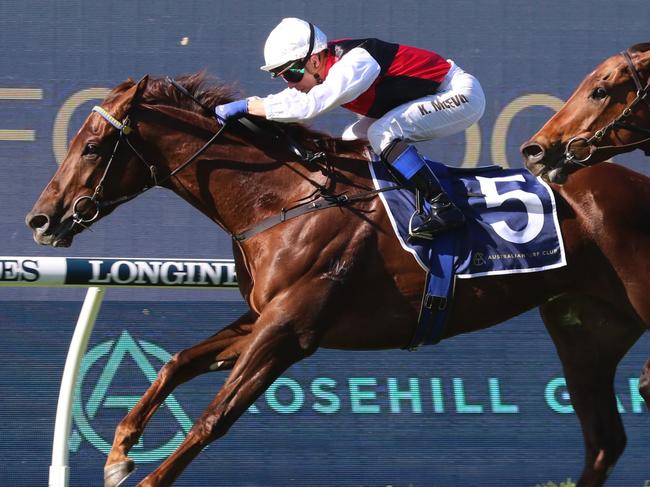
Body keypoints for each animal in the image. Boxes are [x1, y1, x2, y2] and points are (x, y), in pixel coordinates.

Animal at [27, 73, 648, 487]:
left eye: (92, 146)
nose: (41, 219)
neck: (283, 200)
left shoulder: (289, 332)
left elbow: (212, 418)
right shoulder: (263, 317)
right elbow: (177, 362)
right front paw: (119, 454)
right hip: (586, 331)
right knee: (603, 441)